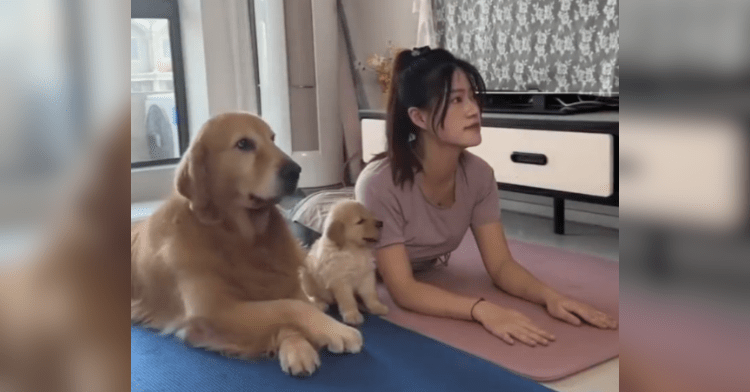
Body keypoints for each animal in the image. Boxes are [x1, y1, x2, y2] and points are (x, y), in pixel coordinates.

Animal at [131, 112, 364, 376]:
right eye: (243, 144)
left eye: (273, 138)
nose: (296, 170)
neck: (241, 238)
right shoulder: (212, 312)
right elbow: (288, 307)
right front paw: (334, 332)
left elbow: (293, 301)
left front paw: (302, 342)